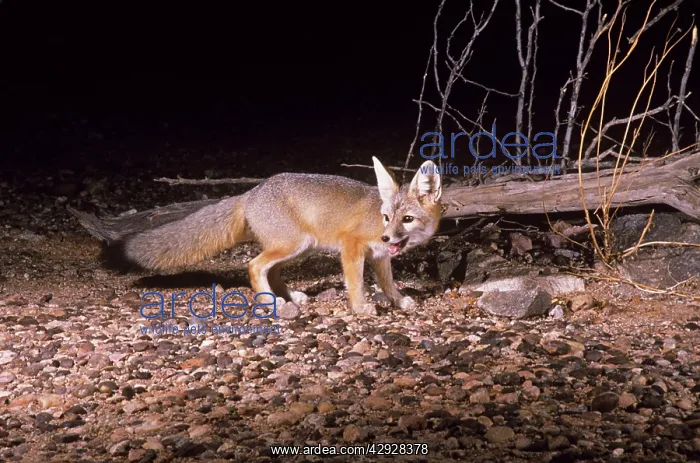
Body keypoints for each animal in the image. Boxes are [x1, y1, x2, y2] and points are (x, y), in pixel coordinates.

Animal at [67, 157, 442, 315]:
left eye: (407, 219)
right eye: (386, 218)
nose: (388, 238)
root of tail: (251, 192)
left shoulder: (380, 258)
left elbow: (389, 284)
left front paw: (398, 301)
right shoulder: (352, 248)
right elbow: (356, 284)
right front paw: (361, 307)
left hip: (298, 248)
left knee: (270, 270)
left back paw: (288, 298)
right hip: (293, 245)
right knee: (253, 267)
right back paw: (270, 303)